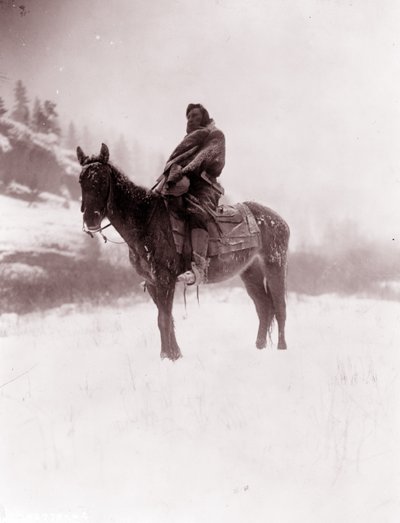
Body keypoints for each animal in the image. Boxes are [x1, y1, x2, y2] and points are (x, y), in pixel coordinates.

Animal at [76, 145, 290, 362]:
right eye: (81, 180)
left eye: (102, 180)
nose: (90, 220)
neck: (146, 222)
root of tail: (279, 220)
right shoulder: (153, 282)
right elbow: (166, 318)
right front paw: (174, 354)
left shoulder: (165, 280)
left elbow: (163, 318)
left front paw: (166, 356)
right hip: (250, 271)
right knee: (264, 307)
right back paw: (260, 347)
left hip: (275, 264)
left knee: (279, 306)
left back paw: (281, 348)